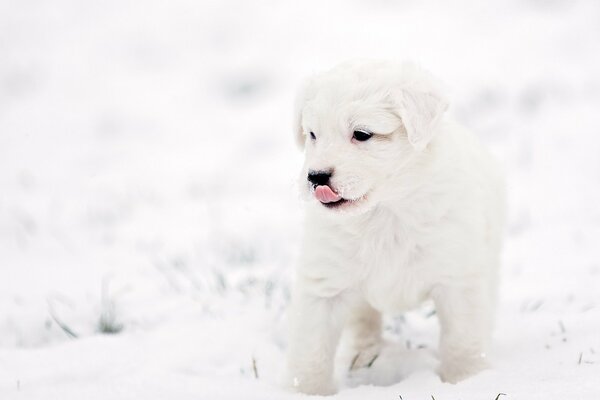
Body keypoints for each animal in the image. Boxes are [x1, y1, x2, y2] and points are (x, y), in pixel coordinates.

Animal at [286, 61, 506, 396]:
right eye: (312, 134)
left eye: (362, 134)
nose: (316, 177)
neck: (384, 211)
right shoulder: (324, 283)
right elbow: (311, 349)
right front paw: (307, 392)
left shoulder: (457, 277)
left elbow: (462, 338)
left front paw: (467, 380)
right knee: (364, 321)